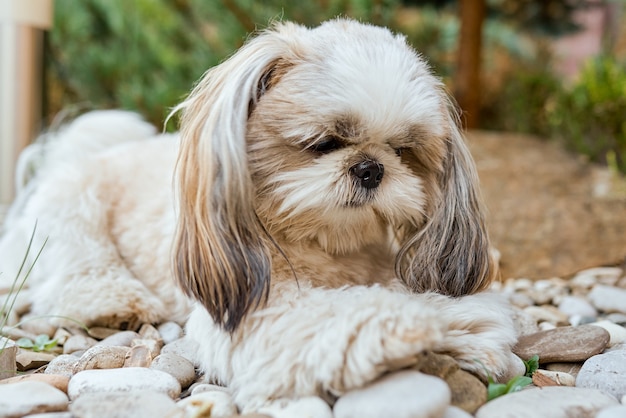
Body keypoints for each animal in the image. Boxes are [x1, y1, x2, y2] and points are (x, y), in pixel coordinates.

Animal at [0, 18, 516, 412]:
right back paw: (116, 300)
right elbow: (349, 312)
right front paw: (413, 322)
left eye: (403, 151)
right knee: (77, 268)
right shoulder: (261, 309)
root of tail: (67, 157)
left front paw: (467, 327)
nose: (371, 168)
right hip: (73, 212)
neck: (322, 246)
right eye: (324, 143)